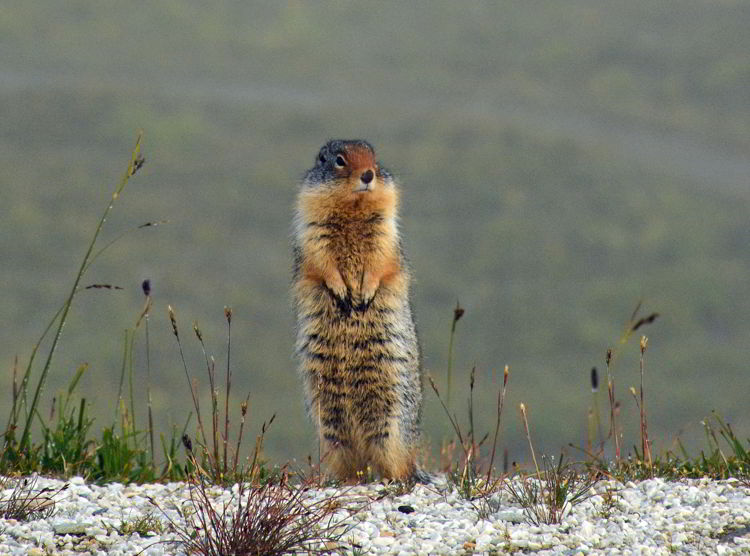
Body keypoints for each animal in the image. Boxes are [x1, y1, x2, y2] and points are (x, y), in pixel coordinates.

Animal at [292, 139, 426, 482]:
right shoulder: (312, 228)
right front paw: (342, 291)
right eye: (339, 160)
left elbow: (381, 259)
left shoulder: (385, 230)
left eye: (375, 159)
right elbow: (321, 259)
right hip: (330, 428)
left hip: (391, 421)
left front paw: (363, 293)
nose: (368, 175)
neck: (353, 207)